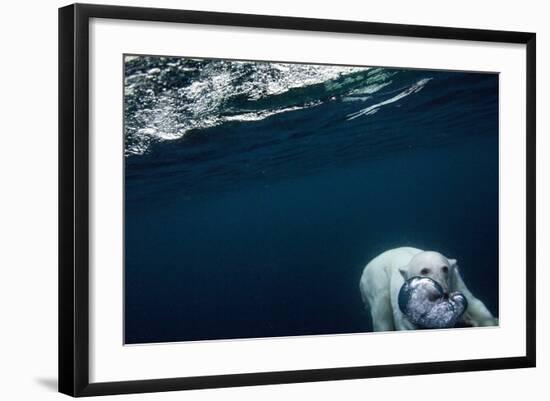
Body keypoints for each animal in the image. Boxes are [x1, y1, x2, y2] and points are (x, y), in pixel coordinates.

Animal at [362, 247, 500, 332]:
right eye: (424, 271)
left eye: (445, 268)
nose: (442, 292)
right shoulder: (402, 295)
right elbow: (404, 322)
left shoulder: (456, 282)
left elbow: (476, 305)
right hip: (376, 282)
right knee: (382, 317)